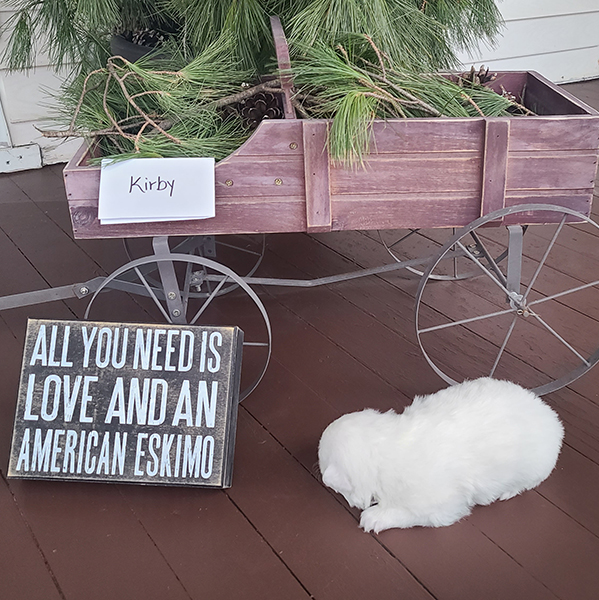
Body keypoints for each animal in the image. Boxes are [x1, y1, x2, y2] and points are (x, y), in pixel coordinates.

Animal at [322, 378, 564, 532]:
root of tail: (552, 417)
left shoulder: (440, 506)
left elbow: (406, 512)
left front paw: (373, 517)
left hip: (535, 468)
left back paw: (507, 492)